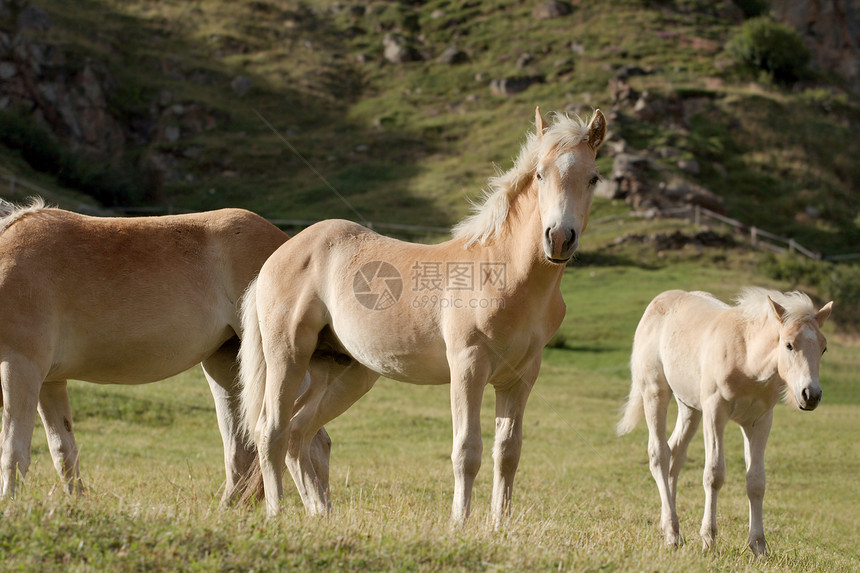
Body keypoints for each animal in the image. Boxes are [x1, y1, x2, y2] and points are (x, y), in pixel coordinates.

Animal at [0, 199, 330, 502]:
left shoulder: (21, 368)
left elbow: (13, 451)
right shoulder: (50, 382)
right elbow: (63, 452)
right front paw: (76, 505)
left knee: (307, 441)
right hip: (224, 365)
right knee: (242, 452)